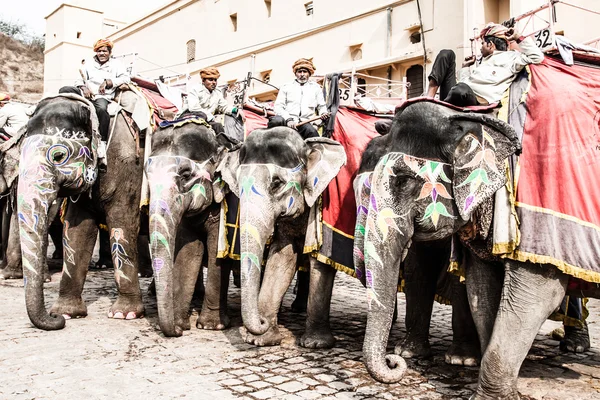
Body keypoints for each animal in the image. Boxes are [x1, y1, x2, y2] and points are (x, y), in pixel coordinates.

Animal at [146, 120, 236, 336]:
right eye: (147, 175)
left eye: (185, 175)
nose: (177, 333)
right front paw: (180, 324)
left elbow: (216, 251)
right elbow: (188, 251)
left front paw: (211, 326)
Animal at [218, 128, 344, 346]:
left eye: (276, 183)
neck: (307, 145)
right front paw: (259, 340)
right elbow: (281, 259)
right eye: (238, 184)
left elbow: (320, 261)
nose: (260, 320)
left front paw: (315, 344)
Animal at [354, 99, 524, 382]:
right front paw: (409, 353)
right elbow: (419, 268)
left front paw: (462, 360)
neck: (456, 115)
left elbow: (461, 278)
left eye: (403, 181)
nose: (391, 361)